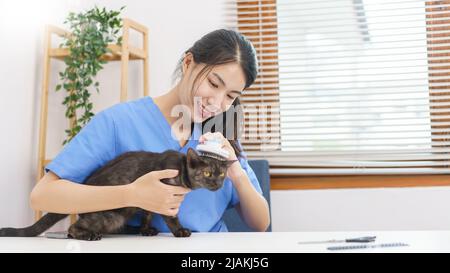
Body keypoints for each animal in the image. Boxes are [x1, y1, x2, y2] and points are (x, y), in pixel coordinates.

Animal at [0, 148, 234, 239]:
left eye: (222, 174)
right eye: (207, 173)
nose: (217, 184)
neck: (181, 168)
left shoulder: (149, 202)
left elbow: (147, 215)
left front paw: (146, 230)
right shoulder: (164, 194)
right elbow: (171, 218)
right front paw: (180, 231)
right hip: (112, 216)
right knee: (73, 228)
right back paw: (88, 235)